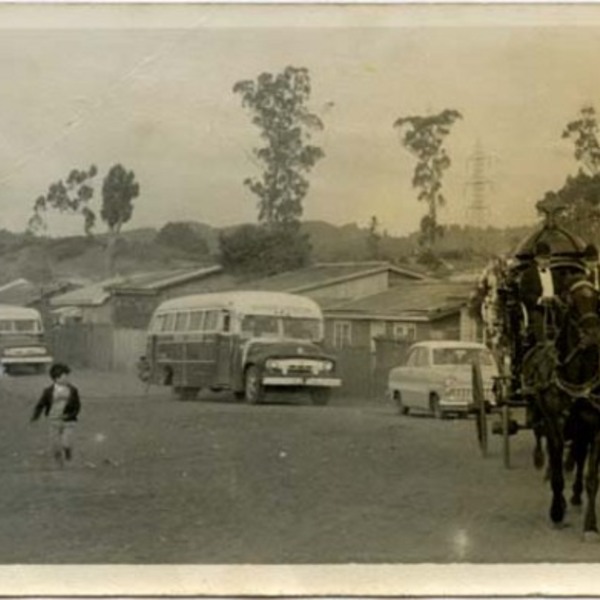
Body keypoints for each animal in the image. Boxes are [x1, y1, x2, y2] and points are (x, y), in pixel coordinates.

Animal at [524, 272, 600, 540]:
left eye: (597, 298)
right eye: (570, 301)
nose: (593, 335)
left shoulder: (595, 428)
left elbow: (591, 477)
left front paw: (591, 525)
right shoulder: (555, 424)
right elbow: (557, 473)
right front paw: (556, 512)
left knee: (578, 456)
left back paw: (575, 496)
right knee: (544, 442)